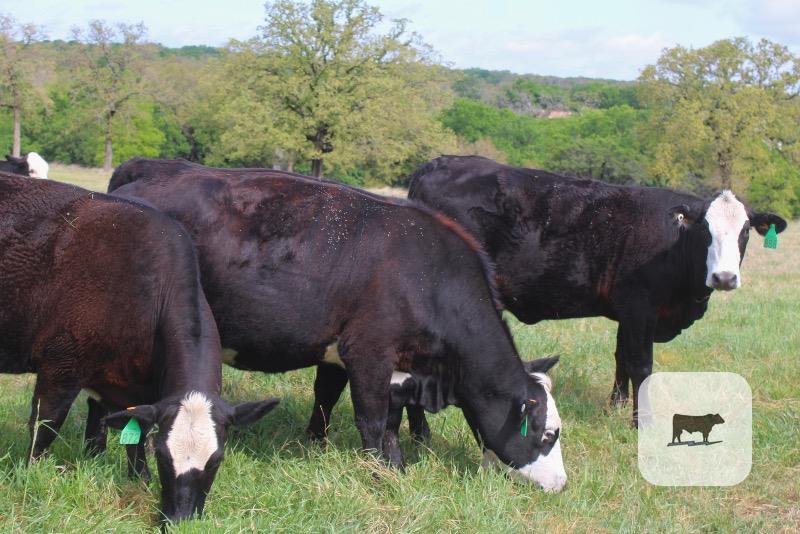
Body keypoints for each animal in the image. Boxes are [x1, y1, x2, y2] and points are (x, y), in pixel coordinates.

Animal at [0, 172, 278, 523]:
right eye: (163, 455)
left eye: (217, 460)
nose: (179, 519)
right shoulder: (61, 364)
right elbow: (45, 428)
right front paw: (27, 476)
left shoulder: (138, 390)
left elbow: (135, 437)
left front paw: (140, 480)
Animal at [107, 158, 568, 492]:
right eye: (548, 435)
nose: (562, 485)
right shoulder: (368, 351)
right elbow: (373, 419)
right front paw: (381, 475)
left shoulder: (352, 355)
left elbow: (337, 402)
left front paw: (324, 446)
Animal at [408, 156, 787, 424]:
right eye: (705, 230)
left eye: (746, 231)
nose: (724, 277)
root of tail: (440, 162)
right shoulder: (640, 308)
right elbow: (641, 365)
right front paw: (641, 422)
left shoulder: (628, 312)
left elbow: (621, 358)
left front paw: (615, 408)